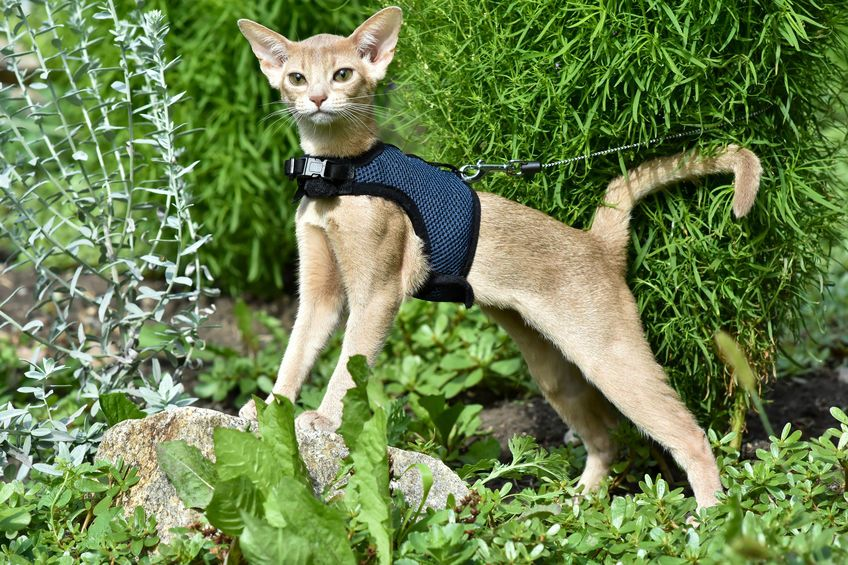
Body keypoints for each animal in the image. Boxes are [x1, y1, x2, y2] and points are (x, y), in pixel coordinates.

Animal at [237, 6, 761, 510]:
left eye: (343, 74)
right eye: (296, 77)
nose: (317, 99)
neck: (337, 175)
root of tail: (596, 243)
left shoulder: (377, 295)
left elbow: (348, 365)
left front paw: (324, 419)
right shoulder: (320, 294)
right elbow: (296, 354)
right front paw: (271, 405)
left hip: (609, 359)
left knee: (690, 435)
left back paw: (711, 516)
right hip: (555, 373)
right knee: (607, 440)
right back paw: (579, 501)